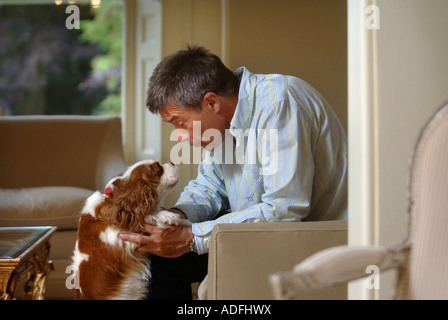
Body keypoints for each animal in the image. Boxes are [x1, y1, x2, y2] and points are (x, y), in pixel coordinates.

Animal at [71, 160, 190, 300]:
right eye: (159, 169)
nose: (172, 162)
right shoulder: (122, 239)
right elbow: (144, 218)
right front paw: (165, 215)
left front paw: (185, 222)